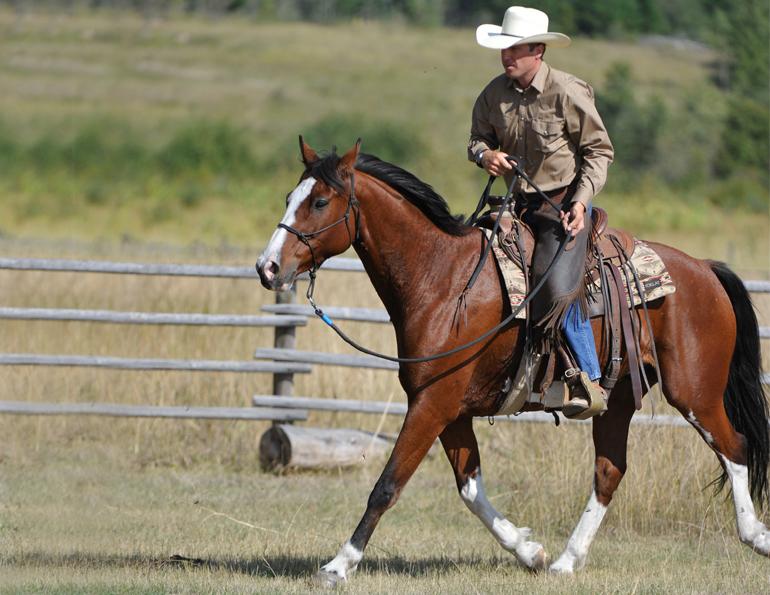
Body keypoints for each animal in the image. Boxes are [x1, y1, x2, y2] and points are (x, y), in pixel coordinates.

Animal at [256, 139, 769, 584]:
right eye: (288, 197)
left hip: (695, 392)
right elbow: (470, 487)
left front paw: (338, 566)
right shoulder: (447, 408)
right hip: (620, 397)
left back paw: (756, 536)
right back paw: (565, 561)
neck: (443, 278)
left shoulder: (432, 403)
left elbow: (387, 484)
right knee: (609, 471)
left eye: (320, 202)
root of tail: (705, 269)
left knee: (735, 448)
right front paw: (529, 551)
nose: (267, 268)